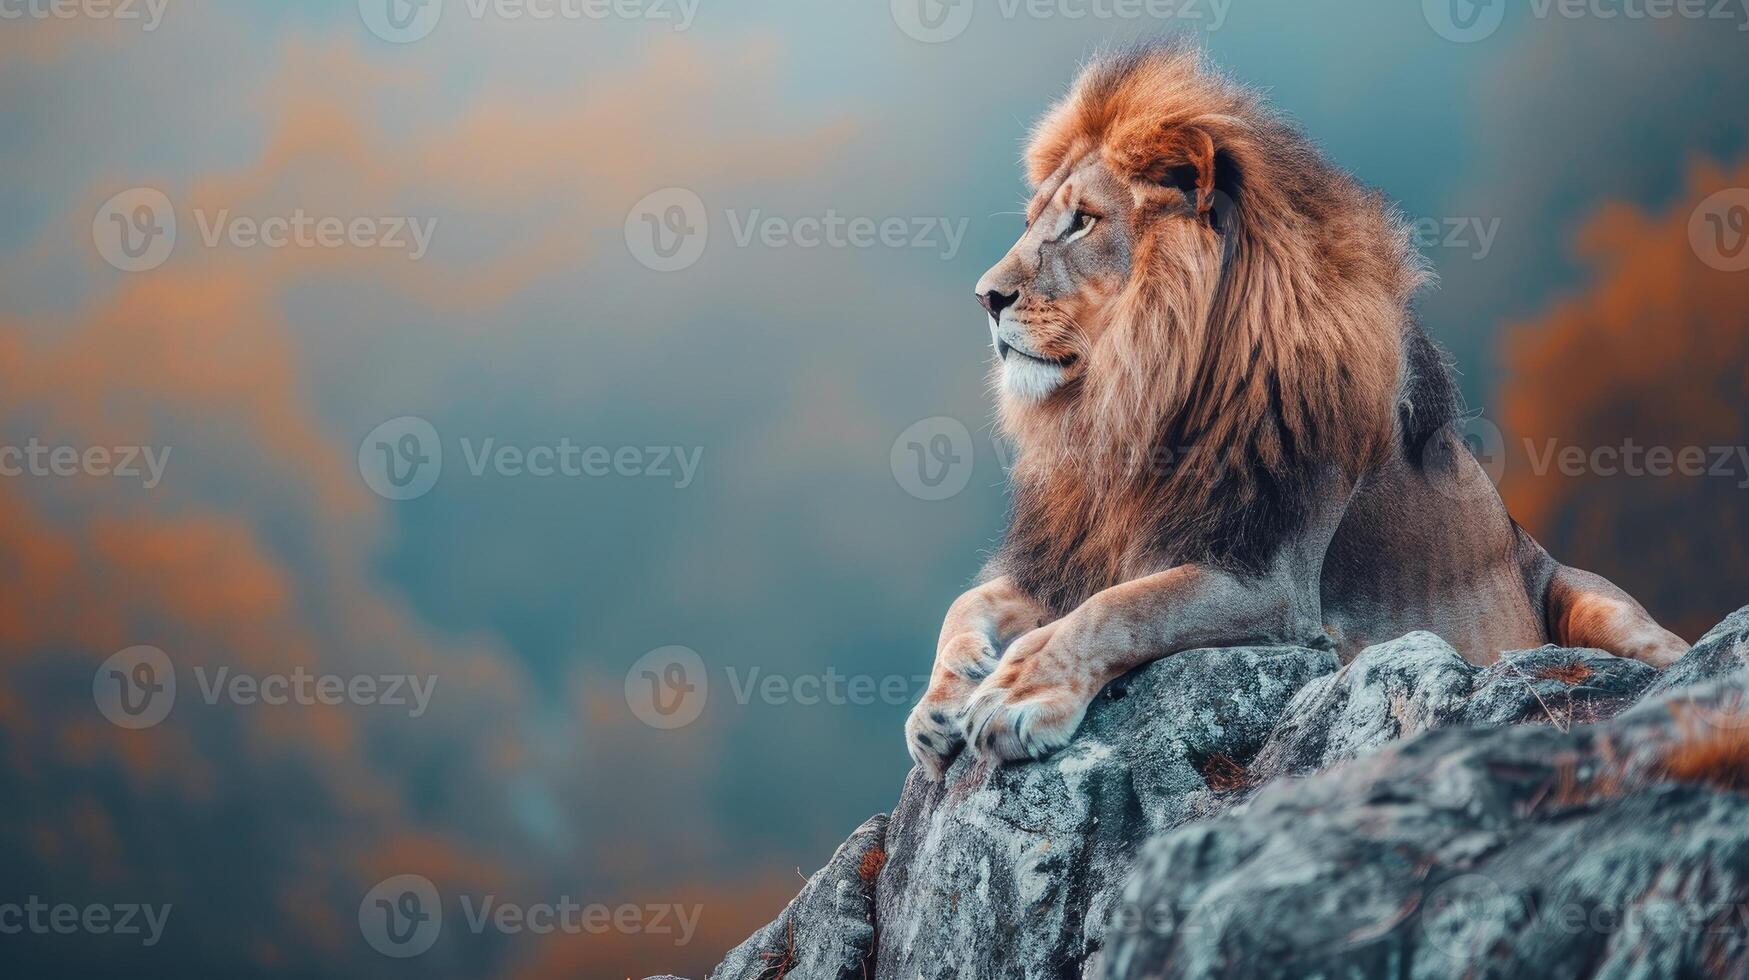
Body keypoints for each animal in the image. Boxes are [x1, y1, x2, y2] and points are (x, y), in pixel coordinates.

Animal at [902, 40, 1679, 780]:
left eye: (1082, 223)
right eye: (1036, 222)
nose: (986, 296)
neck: (1136, 405)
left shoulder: (1272, 585)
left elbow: (1120, 609)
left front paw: (1016, 694)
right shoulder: (1085, 552)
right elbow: (972, 600)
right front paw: (940, 702)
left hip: (1600, 608)